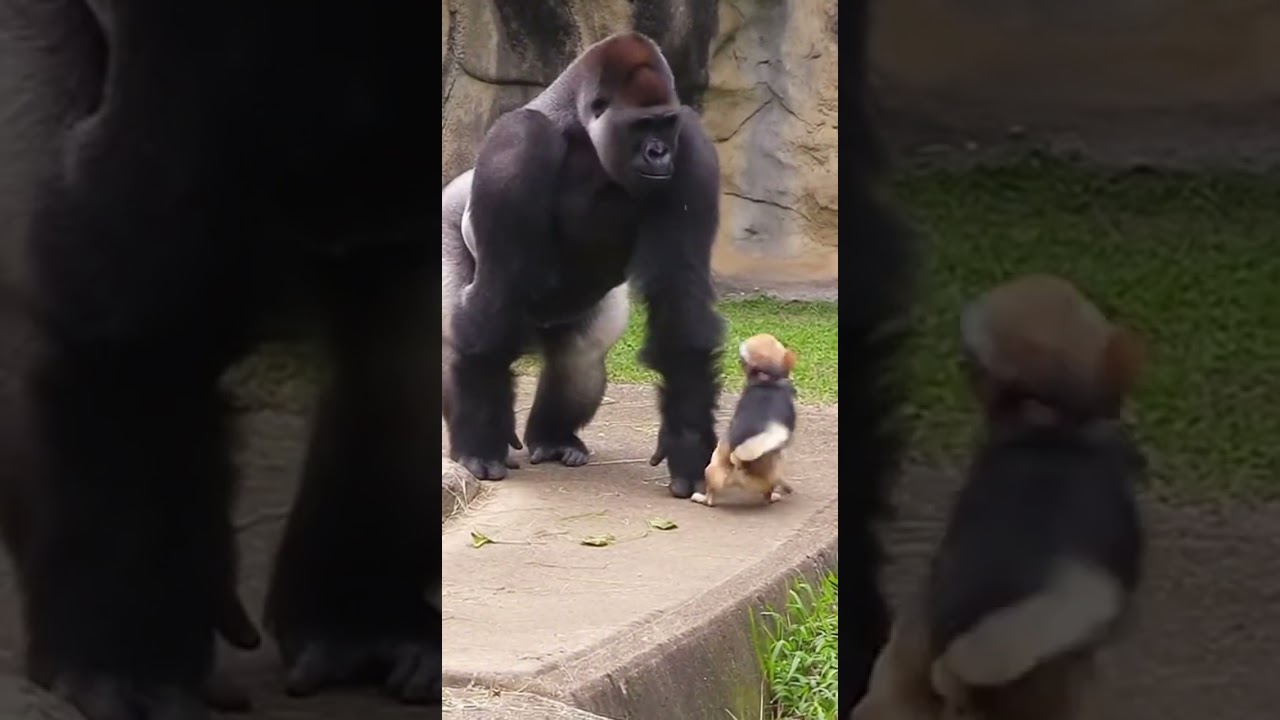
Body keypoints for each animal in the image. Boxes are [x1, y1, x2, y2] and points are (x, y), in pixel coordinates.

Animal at [441, 31, 726, 500]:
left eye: (665, 124)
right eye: (640, 126)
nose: (659, 153)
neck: (582, 132)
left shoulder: (692, 149)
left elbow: (679, 295)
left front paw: (689, 444)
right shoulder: (516, 144)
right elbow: (497, 295)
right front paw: (480, 444)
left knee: (579, 357)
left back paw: (555, 438)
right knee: (460, 335)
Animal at [693, 333, 798, 508]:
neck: (767, 380)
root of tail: (740, 463)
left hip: (712, 468)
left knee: (711, 498)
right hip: (772, 473)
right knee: (767, 494)